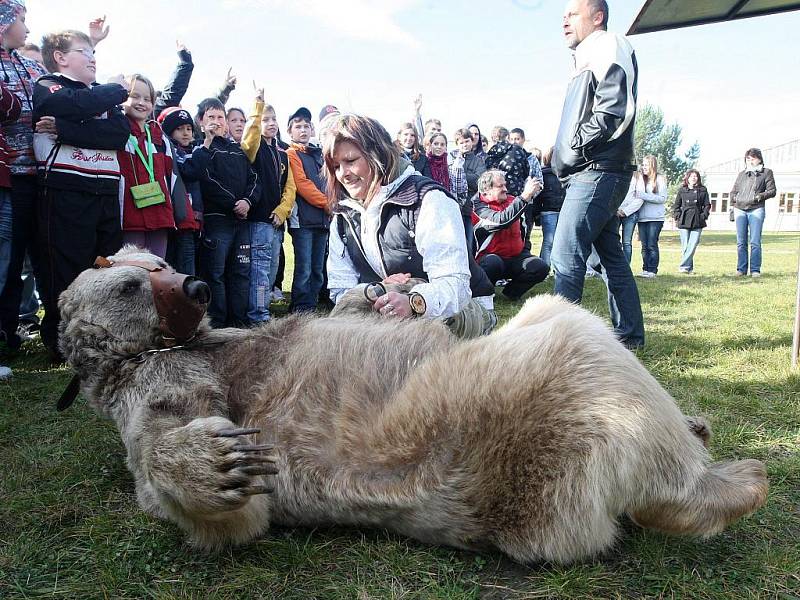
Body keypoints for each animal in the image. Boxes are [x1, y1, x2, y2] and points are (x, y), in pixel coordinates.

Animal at [56, 246, 768, 564]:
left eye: (155, 262)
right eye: (130, 282)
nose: (198, 285)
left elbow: (345, 307)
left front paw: (373, 294)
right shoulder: (163, 379)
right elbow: (206, 487)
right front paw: (217, 462)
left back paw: (702, 432)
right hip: (540, 390)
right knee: (573, 327)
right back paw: (729, 475)